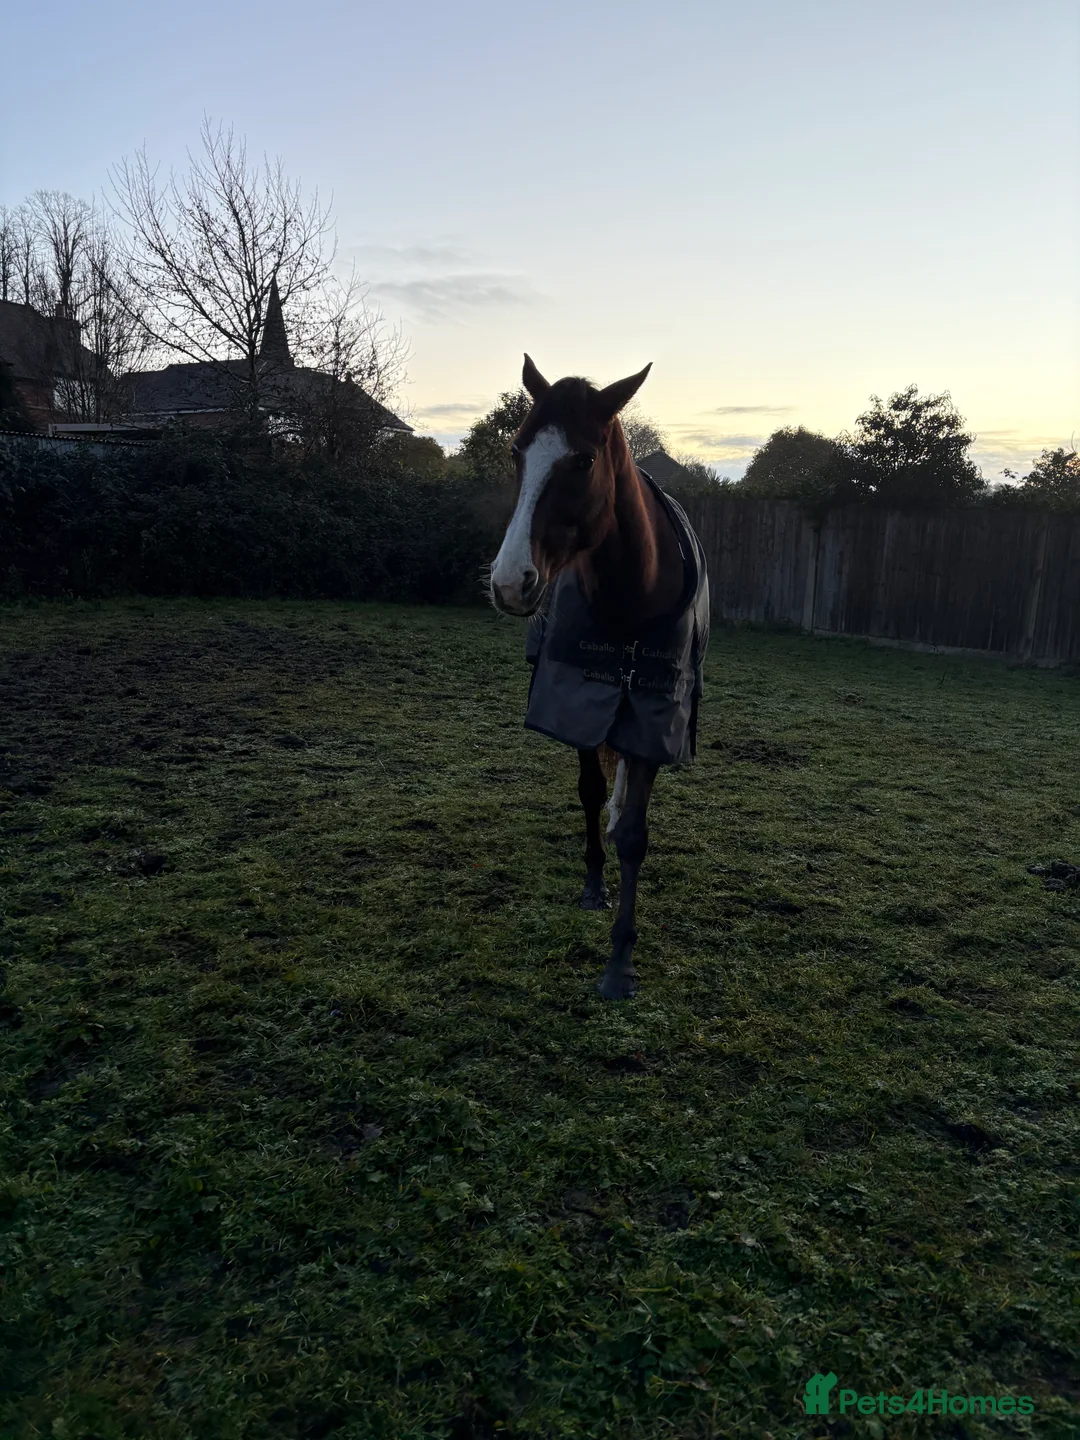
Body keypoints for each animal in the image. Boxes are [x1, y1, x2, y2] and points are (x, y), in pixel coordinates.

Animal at [489, 355, 710, 1000]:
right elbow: (589, 789)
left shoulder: (654, 720)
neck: (631, 595)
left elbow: (636, 832)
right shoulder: (579, 700)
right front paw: (595, 887)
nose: (509, 581)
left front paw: (620, 962)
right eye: (517, 452)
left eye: (583, 461)